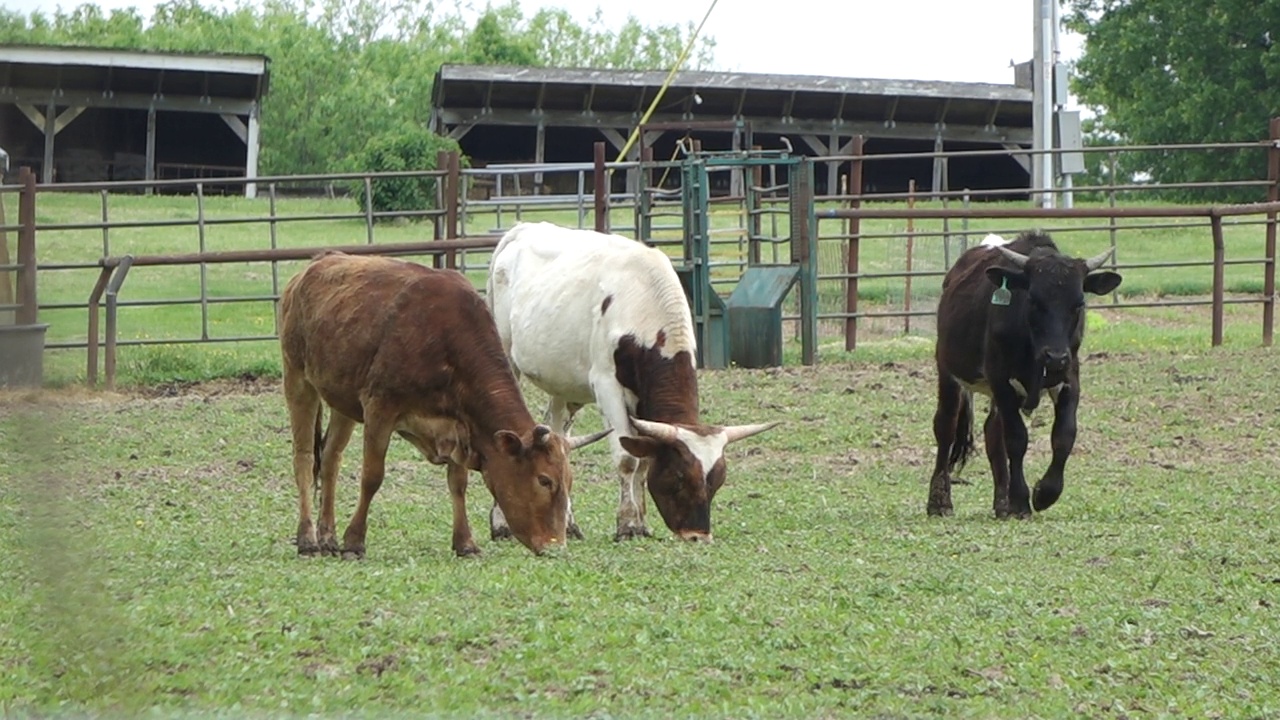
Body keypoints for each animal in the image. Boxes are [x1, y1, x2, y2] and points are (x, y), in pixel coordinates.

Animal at [277, 249, 606, 558]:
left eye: (569, 482)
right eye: (544, 480)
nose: (556, 546)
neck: (443, 339)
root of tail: (313, 266)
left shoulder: (460, 426)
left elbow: (458, 482)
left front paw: (465, 542)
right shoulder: (380, 408)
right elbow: (372, 477)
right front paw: (354, 541)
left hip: (341, 400)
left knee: (330, 458)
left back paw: (327, 536)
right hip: (298, 379)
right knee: (304, 458)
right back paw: (308, 539)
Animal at [481, 221, 773, 540]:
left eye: (718, 480)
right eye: (679, 477)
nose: (697, 535)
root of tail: (523, 228)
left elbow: (643, 459)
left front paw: (641, 523)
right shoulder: (607, 387)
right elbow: (627, 459)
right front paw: (628, 525)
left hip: (561, 383)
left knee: (557, 434)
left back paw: (568, 524)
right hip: (506, 359)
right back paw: (501, 524)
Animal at [931, 229, 1121, 515]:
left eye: (1078, 303)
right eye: (1033, 299)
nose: (1055, 356)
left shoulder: (1069, 378)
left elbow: (1064, 435)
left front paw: (1045, 493)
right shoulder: (1001, 379)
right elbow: (1016, 439)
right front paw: (1020, 501)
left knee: (992, 432)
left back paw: (1001, 503)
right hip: (948, 370)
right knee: (946, 426)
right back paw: (939, 502)